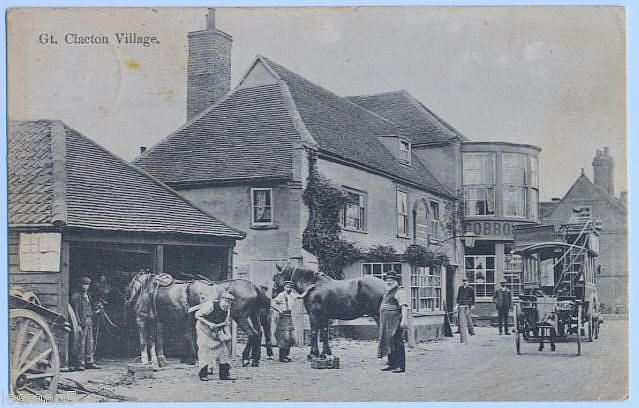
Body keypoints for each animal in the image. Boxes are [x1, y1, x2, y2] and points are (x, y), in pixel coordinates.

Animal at [126, 272, 274, 368]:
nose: (128, 299)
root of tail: (253, 286)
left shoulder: (144, 319)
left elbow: (147, 341)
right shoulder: (160, 320)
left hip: (241, 316)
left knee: (252, 334)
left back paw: (246, 359)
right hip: (253, 315)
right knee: (258, 333)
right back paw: (254, 360)